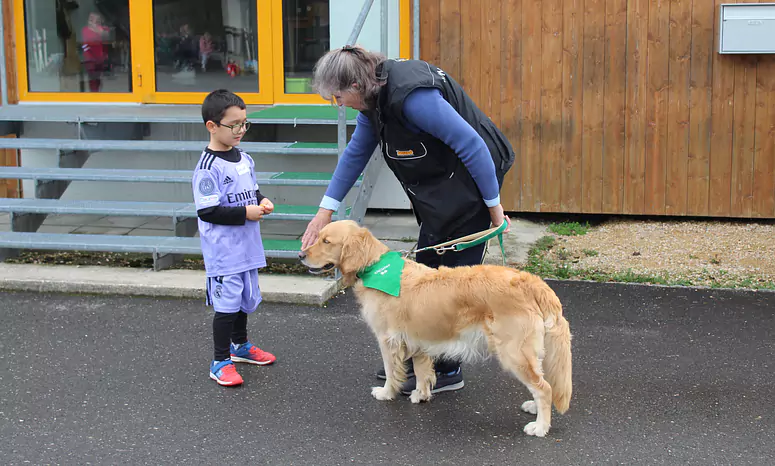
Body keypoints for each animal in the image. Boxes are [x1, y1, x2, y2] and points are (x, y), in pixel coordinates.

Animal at [300, 220, 572, 436]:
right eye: (319, 236)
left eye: (326, 241)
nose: (301, 255)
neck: (376, 267)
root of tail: (532, 282)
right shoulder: (419, 340)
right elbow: (421, 372)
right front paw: (420, 395)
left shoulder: (387, 339)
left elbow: (391, 371)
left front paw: (386, 393)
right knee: (543, 382)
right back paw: (535, 409)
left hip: (513, 352)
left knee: (544, 388)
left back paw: (540, 427)